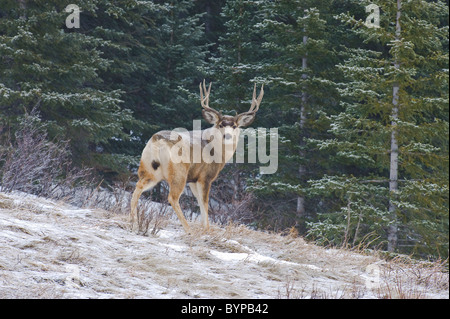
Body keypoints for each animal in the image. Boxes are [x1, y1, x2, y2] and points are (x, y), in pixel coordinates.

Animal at [130, 80, 264, 232]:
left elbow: (199, 201)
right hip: (179, 172)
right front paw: (207, 229)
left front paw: (203, 227)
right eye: (220, 124)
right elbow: (205, 202)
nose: (228, 135)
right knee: (172, 197)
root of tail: (157, 140)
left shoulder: (193, 179)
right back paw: (188, 229)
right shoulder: (205, 176)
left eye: (235, 126)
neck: (218, 151)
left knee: (138, 186)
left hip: (149, 168)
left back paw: (133, 222)